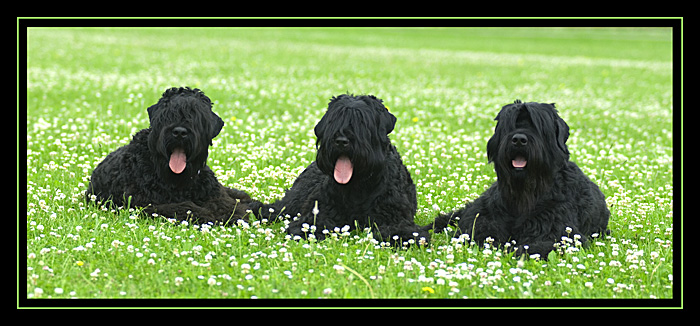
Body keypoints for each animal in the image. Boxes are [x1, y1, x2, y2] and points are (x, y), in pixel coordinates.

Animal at [86, 86, 252, 224]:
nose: (179, 132)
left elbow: (226, 204)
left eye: (197, 116)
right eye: (166, 115)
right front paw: (209, 216)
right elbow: (185, 207)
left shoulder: (215, 194)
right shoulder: (148, 204)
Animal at [249, 94, 430, 247]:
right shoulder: (318, 213)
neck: (359, 186)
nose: (341, 141)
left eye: (362, 121)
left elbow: (400, 231)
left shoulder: (394, 219)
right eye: (334, 120)